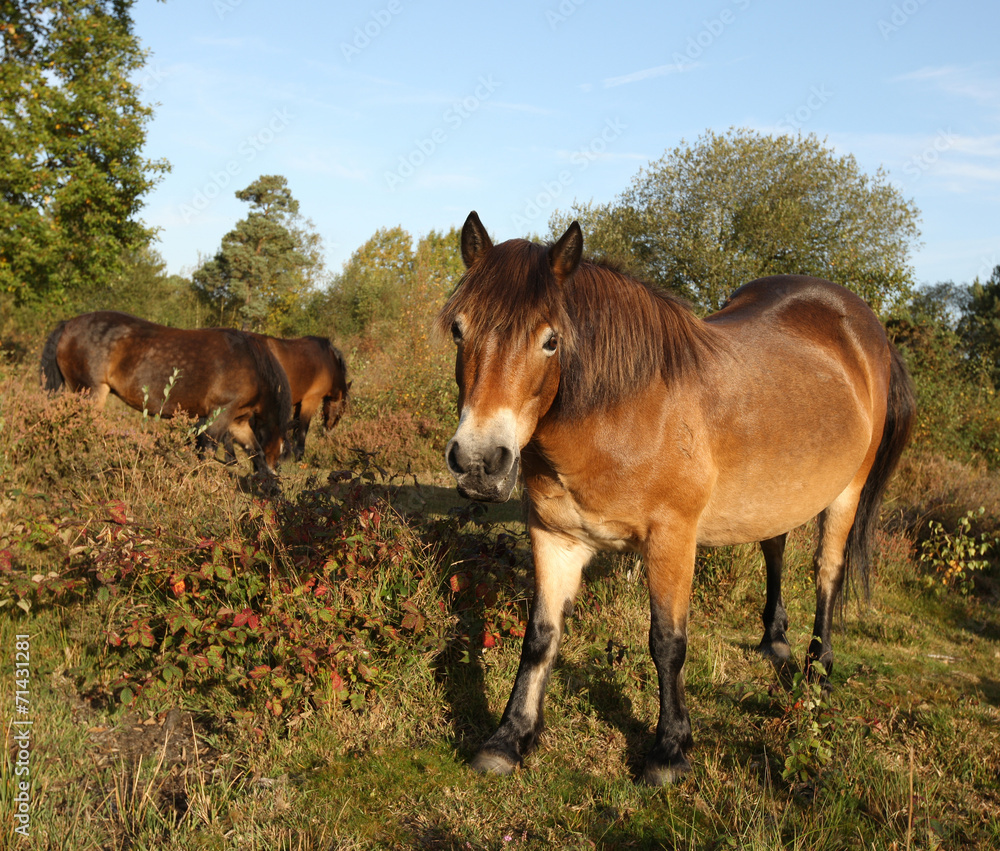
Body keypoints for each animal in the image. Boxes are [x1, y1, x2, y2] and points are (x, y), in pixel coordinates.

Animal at [40, 311, 293, 476]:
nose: (277, 471)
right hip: (90, 393)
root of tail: (69, 324)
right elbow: (207, 451)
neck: (251, 364)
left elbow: (255, 452)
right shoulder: (220, 414)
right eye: (282, 451)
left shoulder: (237, 422)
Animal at [438, 211, 915, 785]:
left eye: (550, 341)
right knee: (774, 545)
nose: (479, 462)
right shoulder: (555, 536)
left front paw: (669, 750)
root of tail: (864, 326)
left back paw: (816, 672)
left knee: (827, 571)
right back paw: (774, 641)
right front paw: (509, 739)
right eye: (459, 329)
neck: (624, 413)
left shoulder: (671, 540)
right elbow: (540, 638)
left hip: (848, 490)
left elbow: (667, 643)